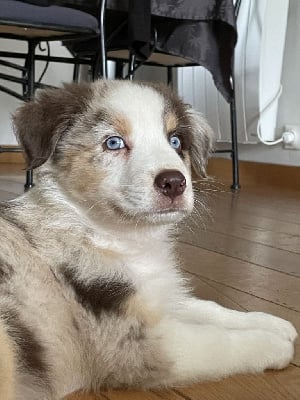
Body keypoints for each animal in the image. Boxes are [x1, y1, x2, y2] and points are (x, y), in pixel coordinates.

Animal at [0, 79, 296, 398]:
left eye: (175, 141)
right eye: (113, 142)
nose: (175, 183)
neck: (119, 238)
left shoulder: (155, 294)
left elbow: (207, 307)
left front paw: (273, 323)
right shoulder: (138, 342)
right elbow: (218, 341)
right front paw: (273, 345)